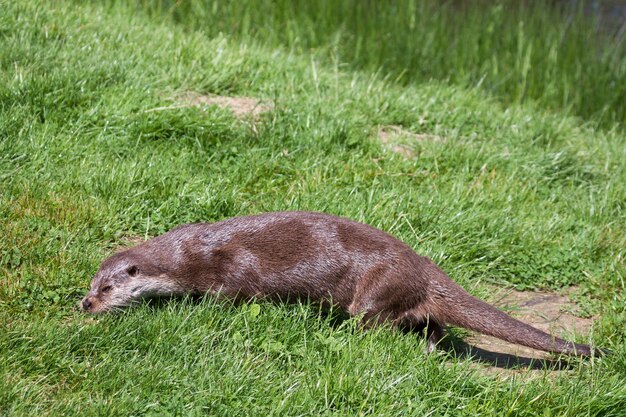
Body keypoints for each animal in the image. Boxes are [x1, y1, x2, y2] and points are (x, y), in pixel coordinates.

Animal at [80, 211, 596, 354]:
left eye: (107, 289)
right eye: (90, 284)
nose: (86, 305)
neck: (188, 256)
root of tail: (425, 267)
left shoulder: (230, 271)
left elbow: (231, 296)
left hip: (377, 288)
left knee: (378, 321)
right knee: (431, 323)